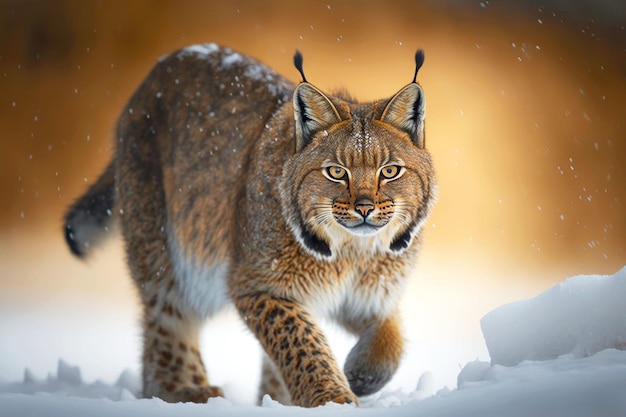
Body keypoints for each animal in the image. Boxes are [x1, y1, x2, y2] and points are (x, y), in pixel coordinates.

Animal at [63, 43, 434, 406]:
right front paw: (330, 399)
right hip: (159, 246)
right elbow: (300, 339)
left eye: (389, 171)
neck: (353, 250)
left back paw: (272, 400)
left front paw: (361, 374)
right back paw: (185, 391)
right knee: (167, 317)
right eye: (336, 172)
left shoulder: (369, 295)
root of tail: (159, 68)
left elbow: (391, 338)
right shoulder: (256, 284)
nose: (365, 209)